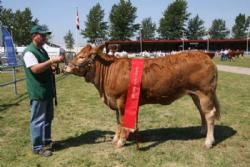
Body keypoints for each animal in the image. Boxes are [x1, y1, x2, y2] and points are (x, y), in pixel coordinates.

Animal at [63, 44, 220, 149]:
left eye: (82, 56)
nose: (65, 67)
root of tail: (205, 55)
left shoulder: (122, 100)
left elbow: (122, 121)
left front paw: (121, 141)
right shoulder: (115, 102)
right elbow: (118, 121)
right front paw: (115, 139)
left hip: (205, 92)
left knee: (210, 114)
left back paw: (208, 141)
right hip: (195, 94)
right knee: (202, 112)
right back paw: (202, 131)